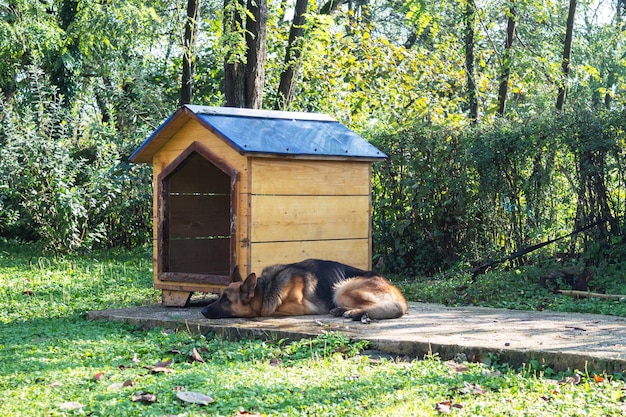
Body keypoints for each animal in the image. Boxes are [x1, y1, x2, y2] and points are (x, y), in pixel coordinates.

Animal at [201, 258, 410, 320]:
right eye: (219, 297)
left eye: (226, 299)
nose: (202, 311)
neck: (267, 288)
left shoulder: (300, 307)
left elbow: (267, 311)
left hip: (342, 288)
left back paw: (353, 312)